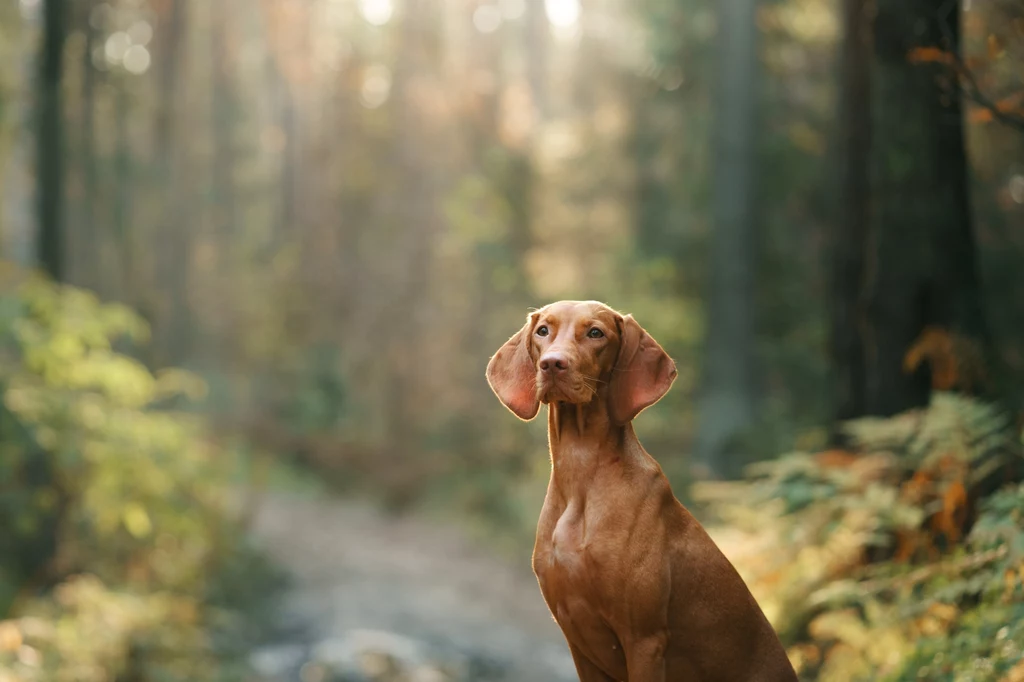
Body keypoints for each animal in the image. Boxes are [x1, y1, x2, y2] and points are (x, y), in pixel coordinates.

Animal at [487, 301, 798, 679]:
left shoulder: (644, 640)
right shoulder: (578, 644)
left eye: (596, 333)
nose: (552, 364)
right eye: (543, 331)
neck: (580, 476)